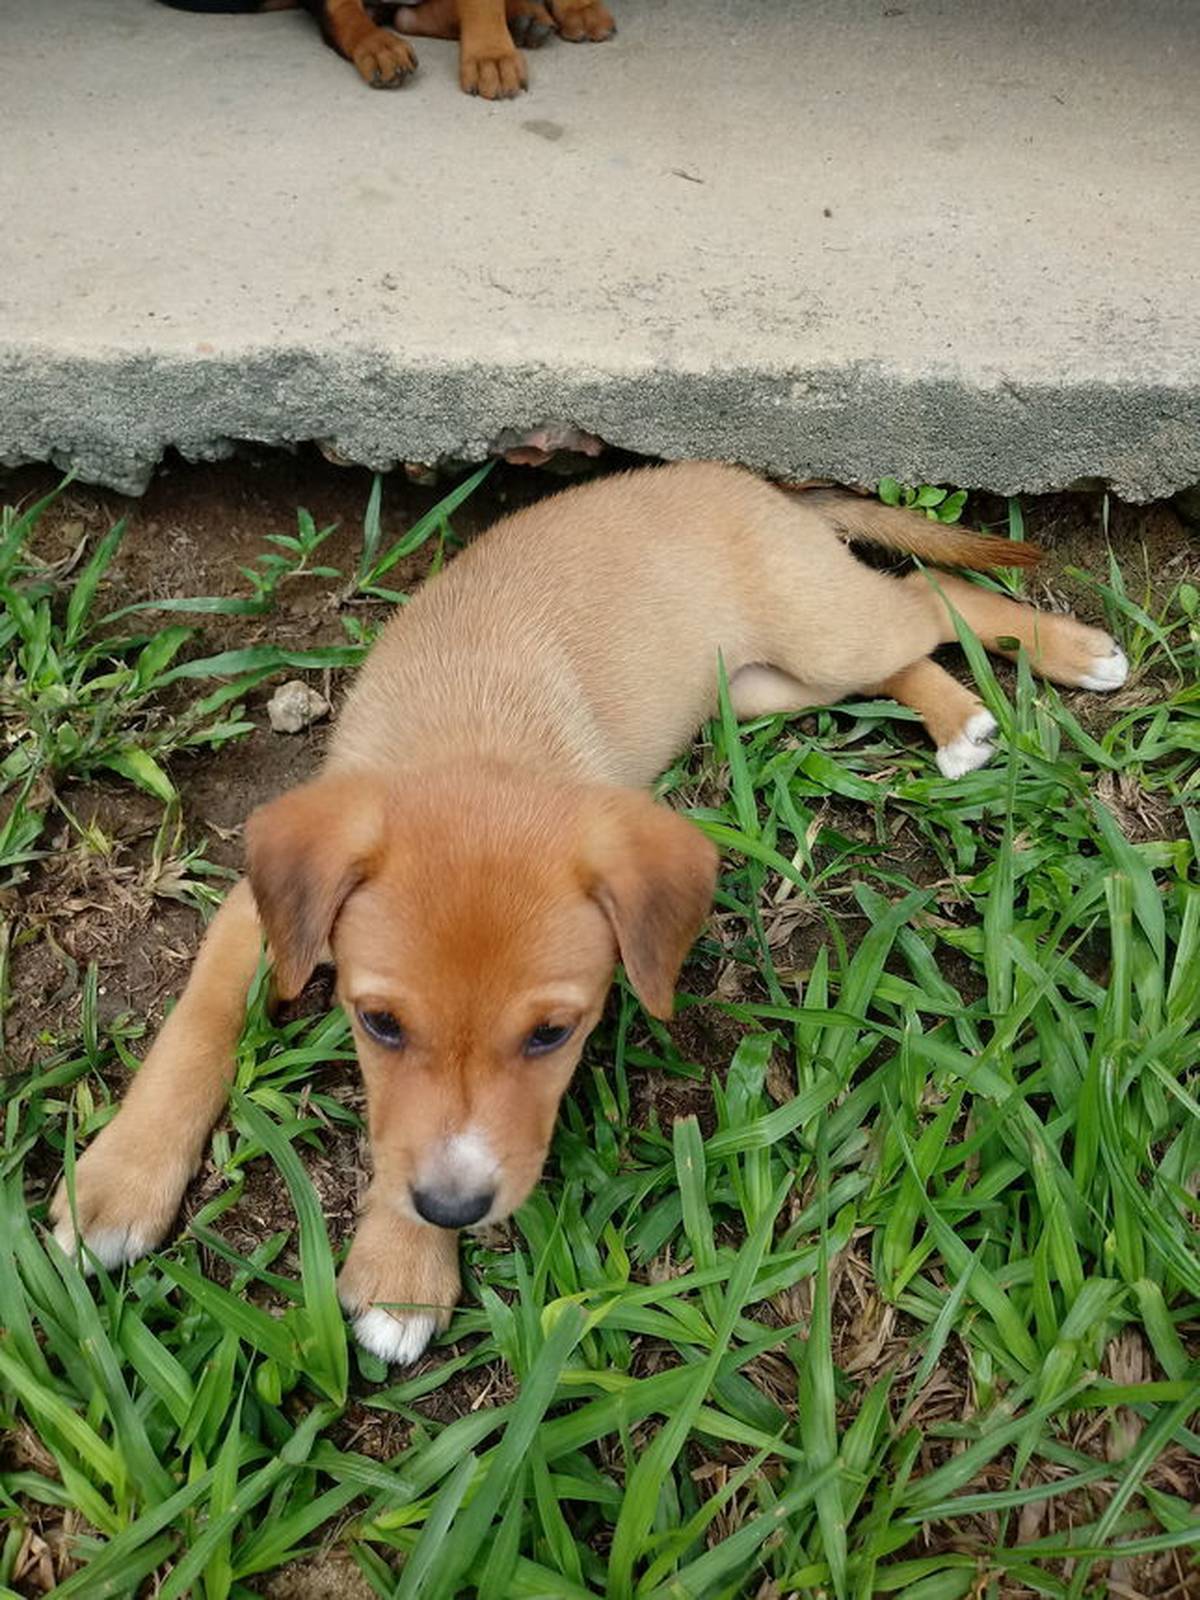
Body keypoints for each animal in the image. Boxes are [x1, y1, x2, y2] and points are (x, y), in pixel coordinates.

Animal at [51, 462, 1128, 1364]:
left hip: (818, 628)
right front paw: (119, 1181)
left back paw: (1068, 652)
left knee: (930, 598)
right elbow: (198, 1025)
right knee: (901, 641)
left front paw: (401, 1269)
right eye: (378, 1024)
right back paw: (959, 717)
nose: (452, 1207)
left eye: (553, 1036)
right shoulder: (262, 908)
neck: (472, 746)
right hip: (761, 686)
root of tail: (753, 481)